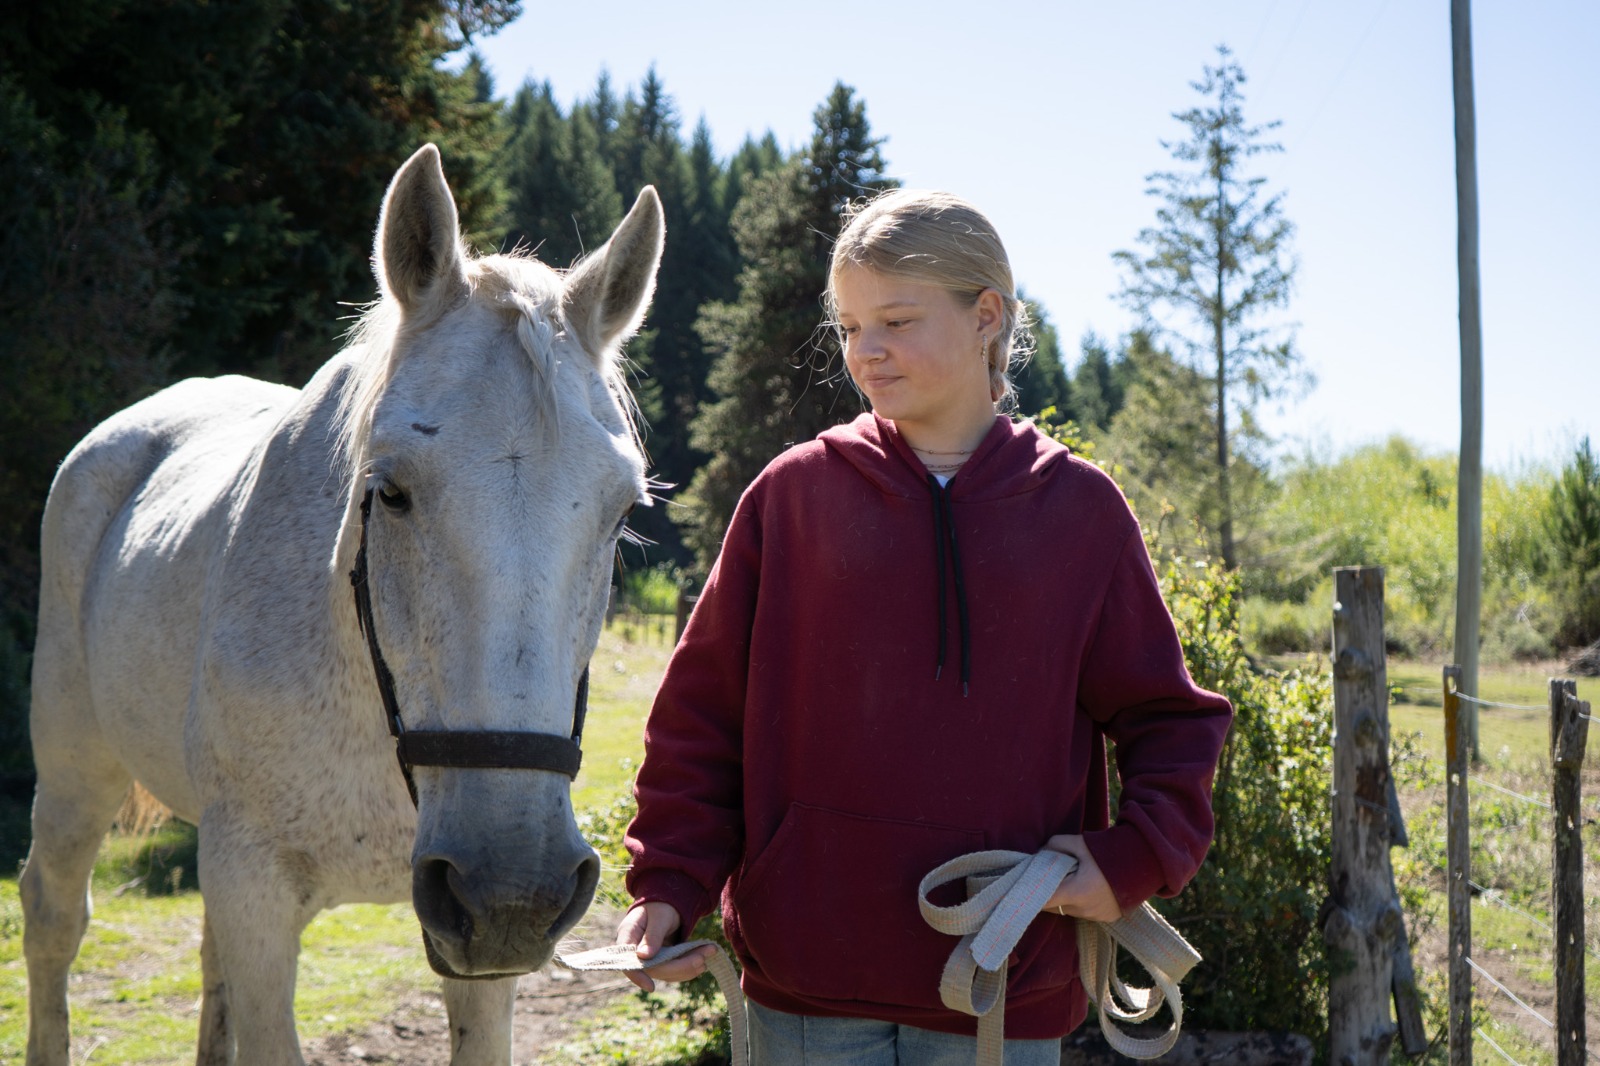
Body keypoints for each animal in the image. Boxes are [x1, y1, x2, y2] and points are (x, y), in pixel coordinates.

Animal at [20, 144, 663, 1065]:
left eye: (621, 512)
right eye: (388, 491)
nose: (514, 886)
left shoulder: (474, 948)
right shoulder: (257, 895)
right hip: (77, 769)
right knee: (54, 918)